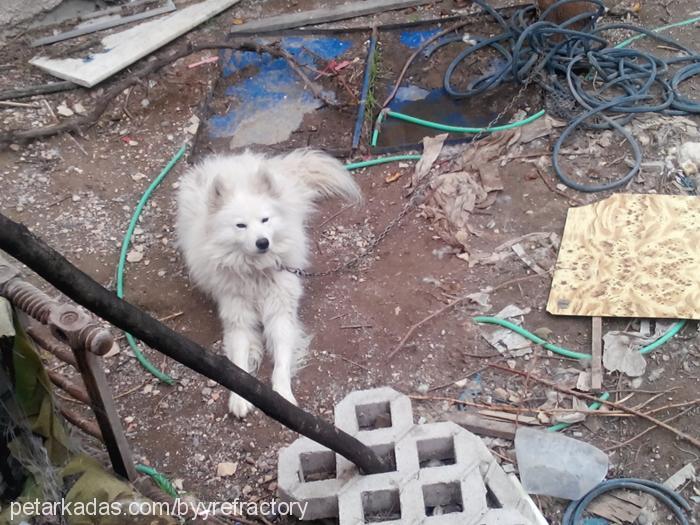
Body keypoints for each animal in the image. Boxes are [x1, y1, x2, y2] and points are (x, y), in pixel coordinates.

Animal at [175, 148, 360, 418]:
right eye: (240, 225)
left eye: (265, 220)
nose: (263, 242)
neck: (256, 272)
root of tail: (234, 161)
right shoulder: (238, 317)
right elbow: (239, 362)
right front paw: (239, 398)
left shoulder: (280, 312)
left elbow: (281, 359)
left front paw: (283, 395)